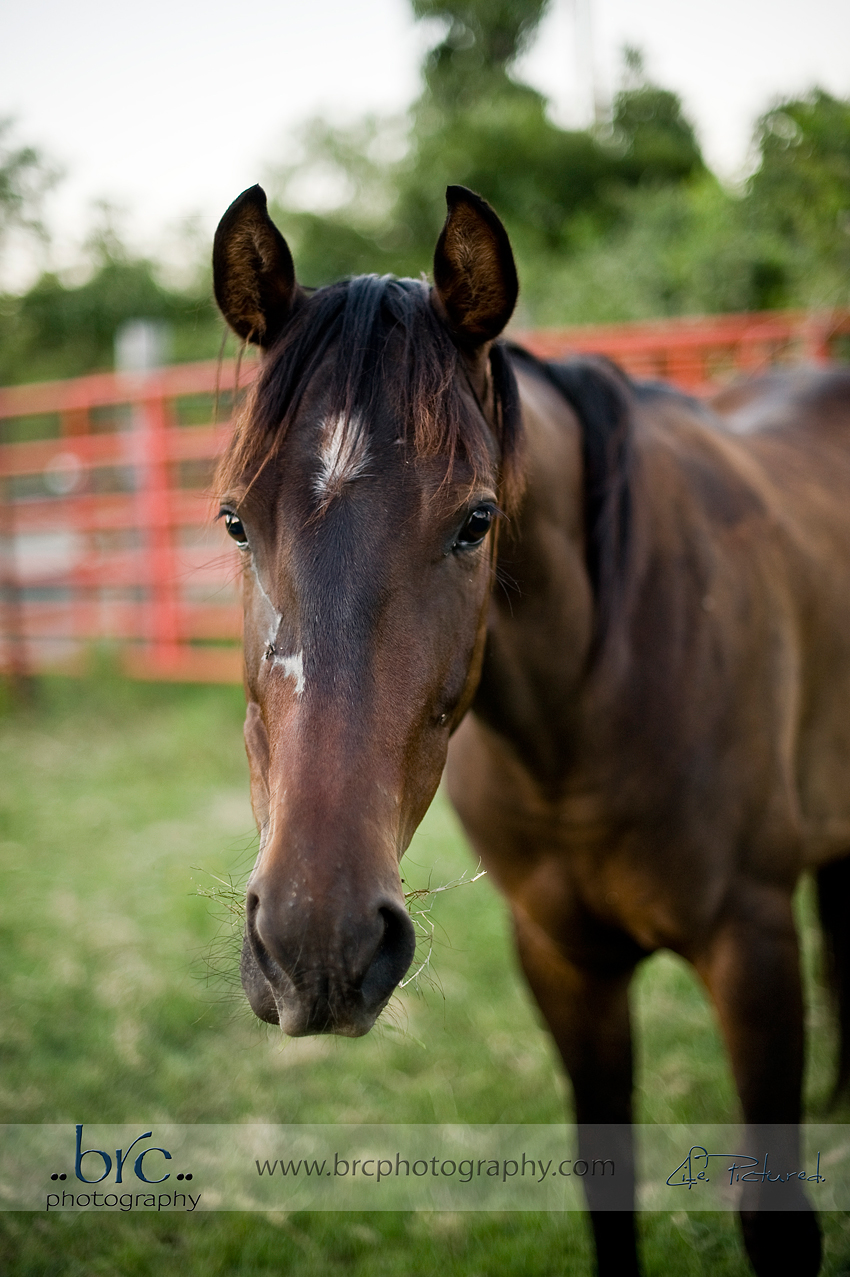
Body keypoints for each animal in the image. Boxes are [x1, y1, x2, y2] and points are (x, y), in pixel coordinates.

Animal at [211, 182, 850, 1276]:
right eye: (235, 521)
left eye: (476, 521)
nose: (315, 943)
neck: (583, 715)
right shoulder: (559, 957)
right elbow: (606, 1185)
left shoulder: (754, 947)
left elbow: (776, 1222)